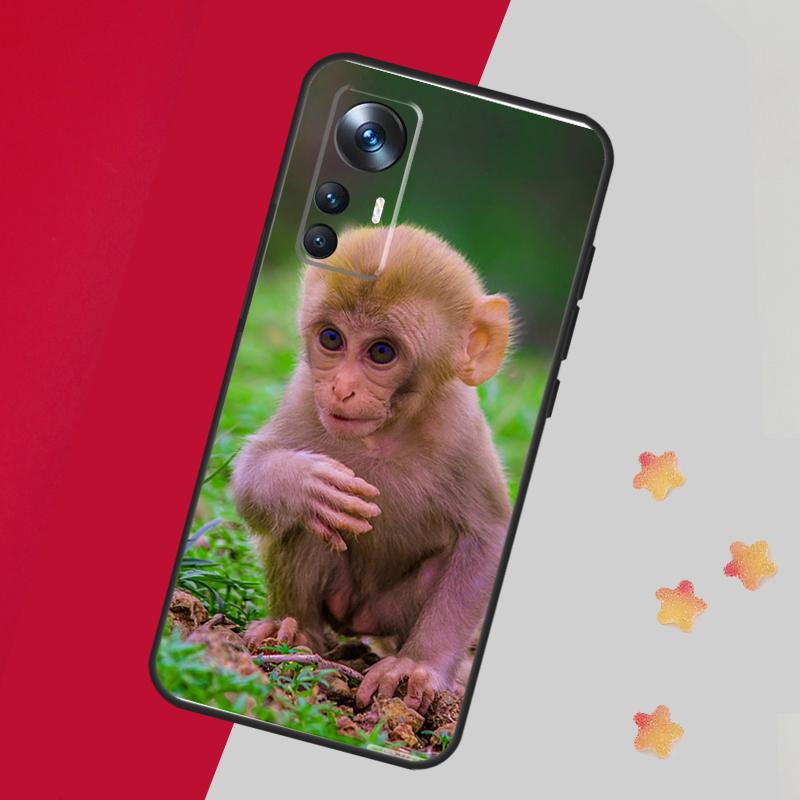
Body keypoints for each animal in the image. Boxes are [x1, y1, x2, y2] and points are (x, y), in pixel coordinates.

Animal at [232, 224, 512, 713]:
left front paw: (418, 666)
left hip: (389, 611)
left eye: (382, 352)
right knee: (309, 524)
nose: (341, 389)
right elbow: (251, 476)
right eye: (331, 339)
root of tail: (357, 619)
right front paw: (303, 485)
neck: (383, 432)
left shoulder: (462, 429)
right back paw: (295, 630)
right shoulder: (305, 395)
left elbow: (487, 536)